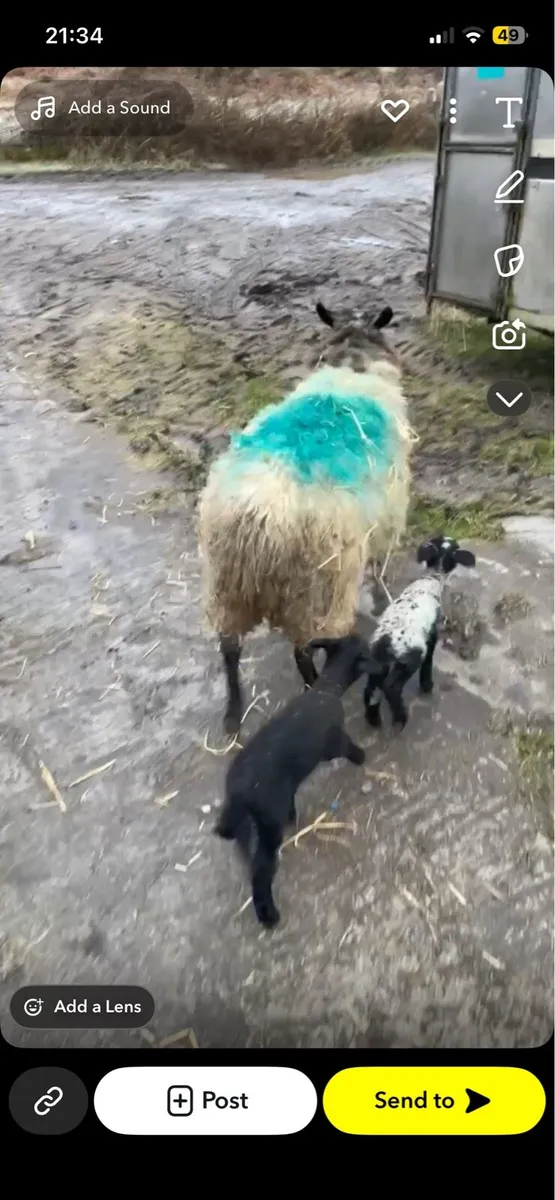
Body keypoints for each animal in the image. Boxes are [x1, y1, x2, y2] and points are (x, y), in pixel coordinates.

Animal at [198, 300, 416, 736]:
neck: (353, 364)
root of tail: (260, 520)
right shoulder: (387, 516)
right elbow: (378, 565)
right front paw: (378, 595)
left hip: (227, 583)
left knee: (229, 647)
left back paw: (233, 711)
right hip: (316, 592)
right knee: (304, 652)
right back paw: (316, 686)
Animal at [214, 634, 377, 928]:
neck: (326, 688)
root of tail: (237, 792)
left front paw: (292, 815)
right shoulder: (335, 743)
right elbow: (349, 749)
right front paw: (361, 756)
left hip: (247, 823)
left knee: (246, 855)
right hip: (268, 826)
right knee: (261, 870)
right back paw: (268, 915)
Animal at [363, 534, 476, 731]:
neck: (433, 578)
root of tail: (386, 640)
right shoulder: (431, 634)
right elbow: (429, 660)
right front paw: (427, 686)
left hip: (378, 662)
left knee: (371, 687)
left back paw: (373, 719)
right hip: (409, 657)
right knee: (390, 686)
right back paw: (400, 718)